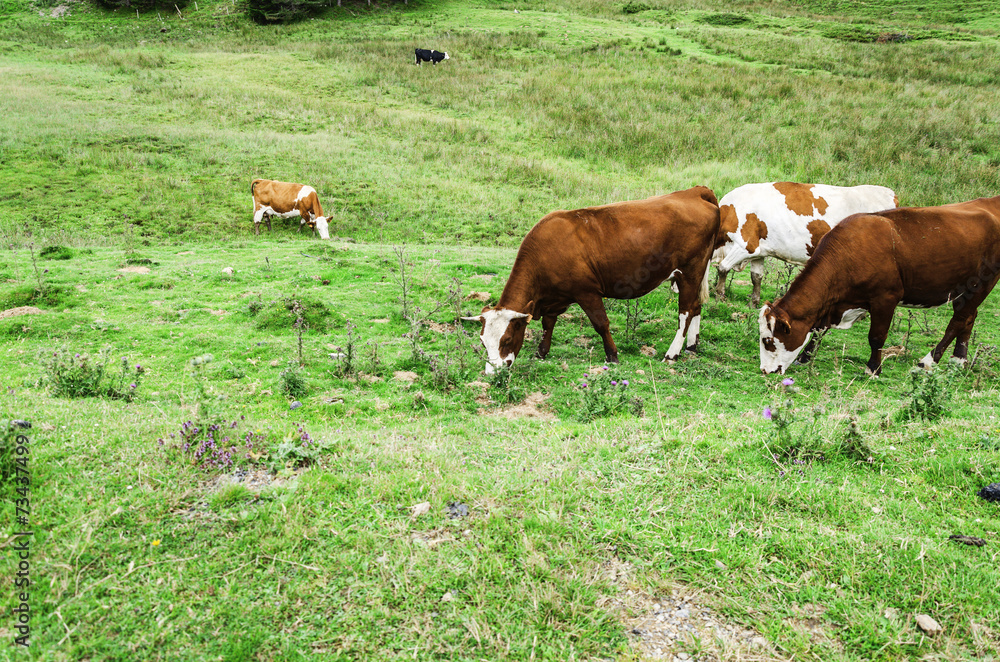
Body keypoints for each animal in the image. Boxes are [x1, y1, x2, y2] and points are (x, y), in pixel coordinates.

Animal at [462, 187, 720, 374]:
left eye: (506, 340)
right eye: (483, 342)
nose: (492, 373)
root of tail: (694, 191)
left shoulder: (587, 292)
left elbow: (601, 324)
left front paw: (612, 355)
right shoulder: (555, 298)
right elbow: (548, 323)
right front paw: (542, 351)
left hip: (689, 272)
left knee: (685, 311)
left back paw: (672, 353)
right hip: (696, 274)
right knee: (696, 306)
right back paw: (691, 346)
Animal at [713, 182, 898, 307]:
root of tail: (890, 193)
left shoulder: (745, 245)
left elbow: (723, 268)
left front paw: (719, 296)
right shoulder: (759, 251)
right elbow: (756, 277)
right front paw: (753, 303)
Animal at [759, 195, 1000, 375]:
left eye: (768, 340)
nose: (765, 370)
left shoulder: (885, 298)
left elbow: (876, 336)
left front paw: (873, 368)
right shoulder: (834, 302)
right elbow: (818, 329)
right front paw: (805, 357)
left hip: (982, 283)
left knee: (958, 320)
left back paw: (929, 360)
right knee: (969, 317)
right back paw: (959, 359)